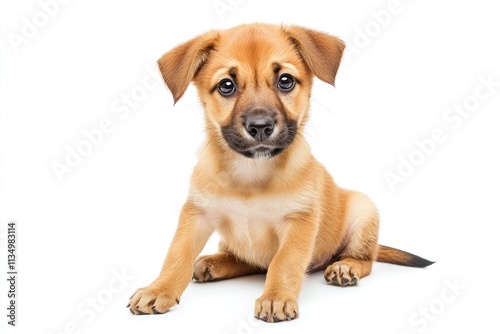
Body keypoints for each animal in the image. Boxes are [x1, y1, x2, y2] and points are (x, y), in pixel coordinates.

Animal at [129, 22, 434, 320]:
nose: (260, 126)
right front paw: (159, 289)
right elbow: (176, 255)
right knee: (246, 260)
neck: (250, 173)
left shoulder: (299, 221)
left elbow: (284, 262)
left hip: (364, 209)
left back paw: (345, 267)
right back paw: (214, 262)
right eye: (226, 86)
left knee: (365, 259)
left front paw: (276, 297)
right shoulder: (197, 213)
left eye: (285, 81)